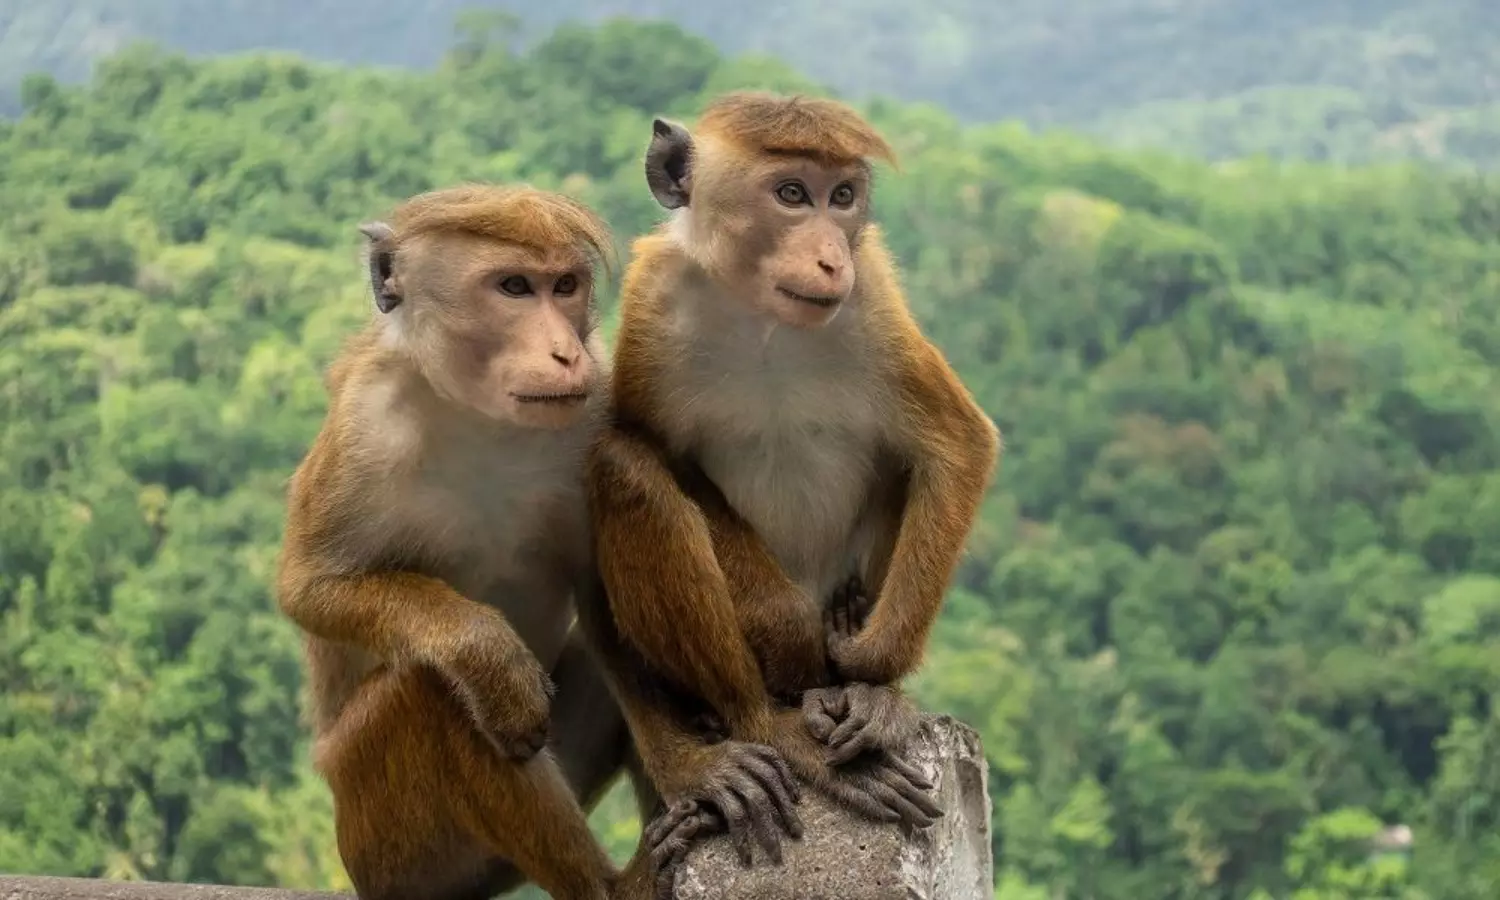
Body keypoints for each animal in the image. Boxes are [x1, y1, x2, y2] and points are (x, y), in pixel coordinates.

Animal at [274, 183, 676, 900]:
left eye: (564, 286)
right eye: (513, 287)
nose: (564, 352)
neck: (477, 415)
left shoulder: (594, 403)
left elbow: (608, 597)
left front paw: (708, 770)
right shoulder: (363, 426)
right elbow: (310, 586)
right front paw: (485, 653)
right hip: (381, 838)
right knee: (428, 688)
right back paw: (608, 886)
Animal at [580, 91, 1002, 878]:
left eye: (843, 198)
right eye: (791, 194)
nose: (831, 254)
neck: (763, 318)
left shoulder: (874, 301)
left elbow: (957, 445)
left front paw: (868, 666)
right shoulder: (653, 305)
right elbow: (660, 456)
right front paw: (791, 629)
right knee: (622, 468)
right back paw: (764, 723)